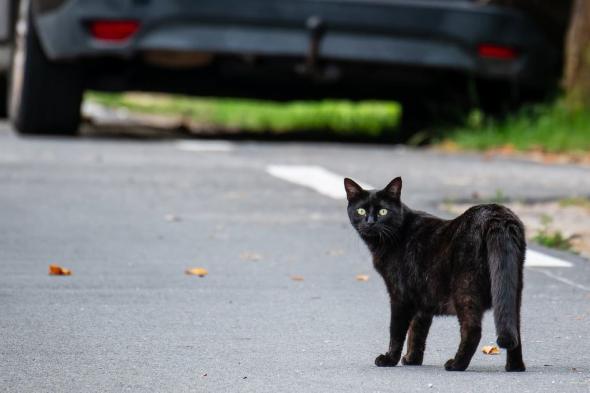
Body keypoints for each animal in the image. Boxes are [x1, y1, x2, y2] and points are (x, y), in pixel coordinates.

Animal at [344, 177, 528, 370]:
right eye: (361, 210)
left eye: (383, 211)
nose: (370, 222)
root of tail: (496, 216)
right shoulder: (423, 298)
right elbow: (417, 331)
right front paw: (412, 359)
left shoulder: (399, 296)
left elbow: (397, 331)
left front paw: (389, 359)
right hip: (512, 290)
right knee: (515, 328)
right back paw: (515, 367)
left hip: (465, 289)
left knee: (472, 330)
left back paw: (456, 364)